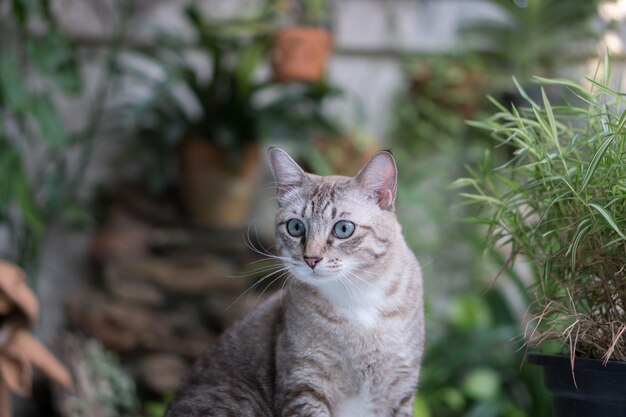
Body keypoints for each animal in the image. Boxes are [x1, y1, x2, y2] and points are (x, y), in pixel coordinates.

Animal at [165, 149, 424, 416]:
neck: (358, 298)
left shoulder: (399, 393)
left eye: (343, 229)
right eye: (296, 227)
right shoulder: (305, 386)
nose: (311, 259)